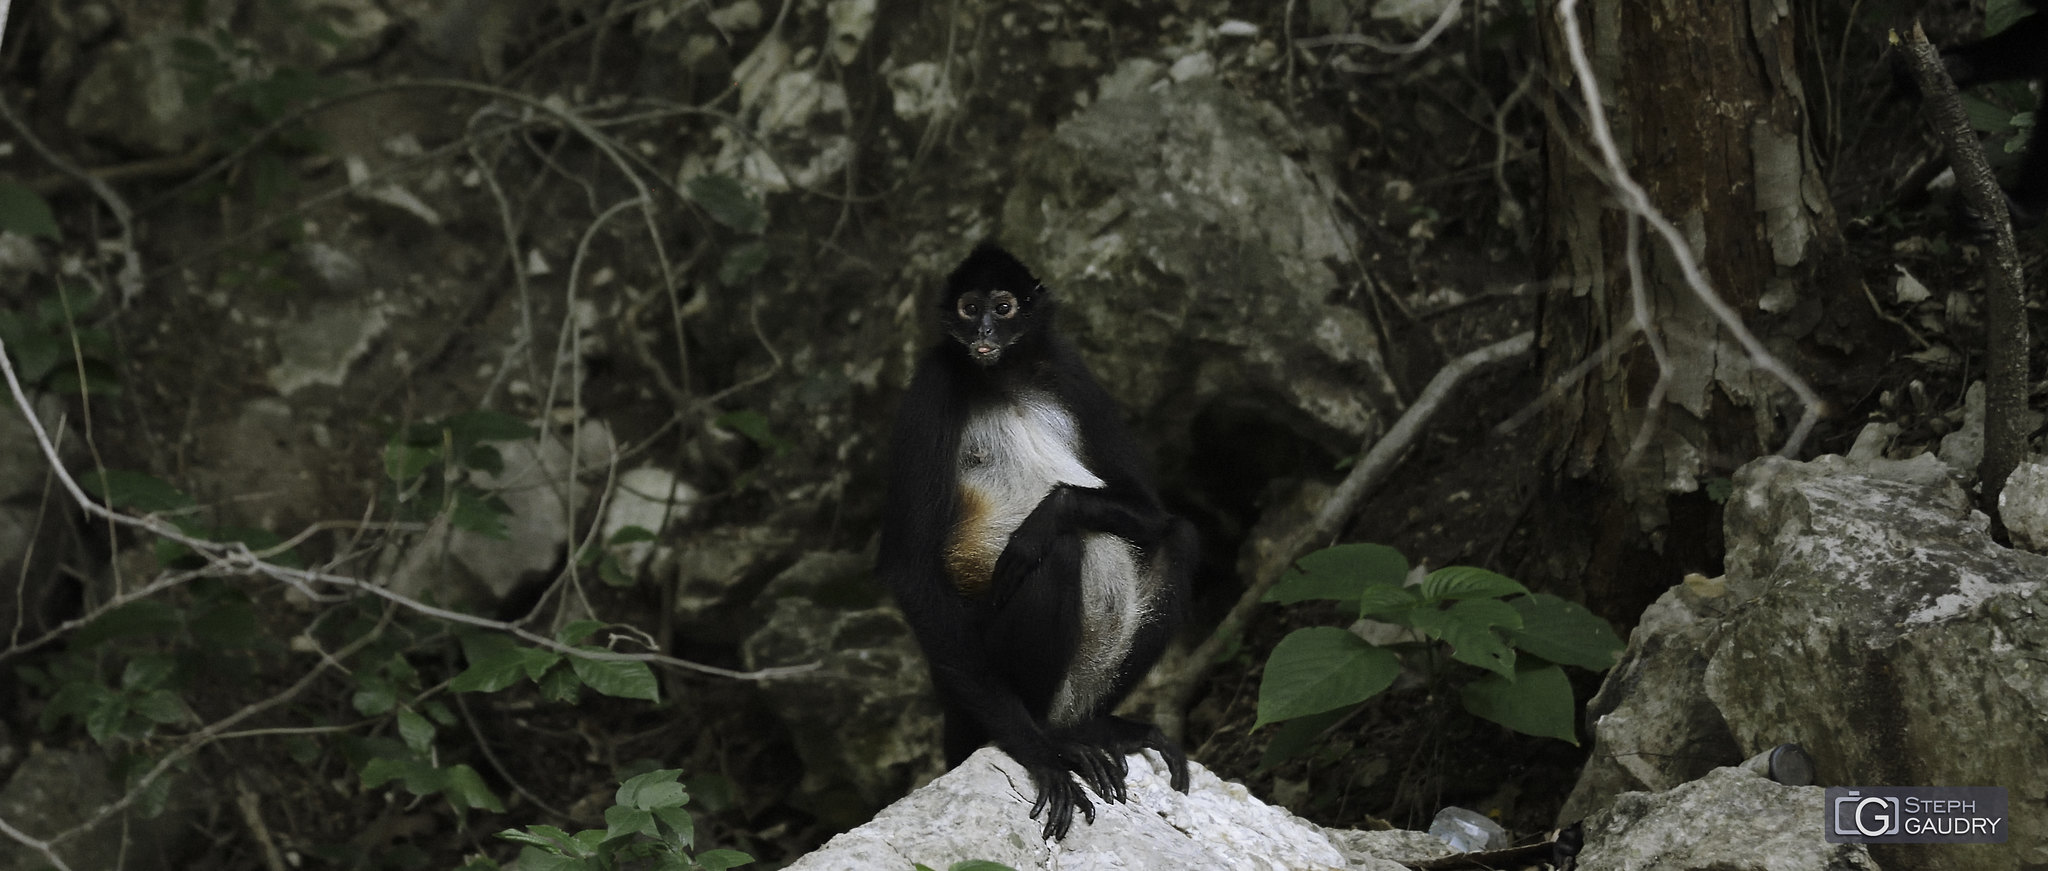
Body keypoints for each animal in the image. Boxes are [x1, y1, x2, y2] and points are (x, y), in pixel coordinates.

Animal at [880, 240, 1196, 840]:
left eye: (1002, 307)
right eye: (969, 308)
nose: (983, 329)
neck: (1002, 376)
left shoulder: (1068, 367)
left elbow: (1150, 511)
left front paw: (1049, 513)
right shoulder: (931, 386)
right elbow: (910, 571)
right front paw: (1042, 758)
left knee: (1173, 540)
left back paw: (1096, 729)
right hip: (977, 663)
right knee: (1059, 557)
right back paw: (1056, 741)